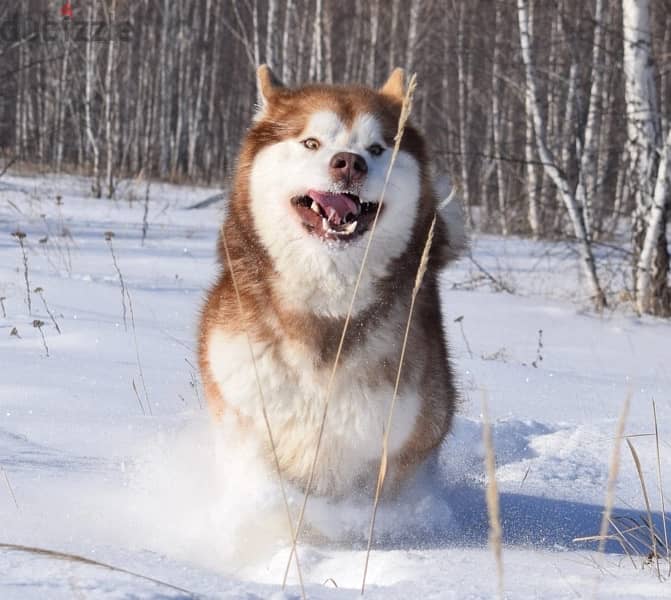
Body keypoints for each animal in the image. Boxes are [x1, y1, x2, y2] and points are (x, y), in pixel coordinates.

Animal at [197, 65, 464, 496]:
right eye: (311, 142)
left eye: (376, 149)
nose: (349, 163)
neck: (327, 303)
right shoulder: (244, 418)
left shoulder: (395, 450)